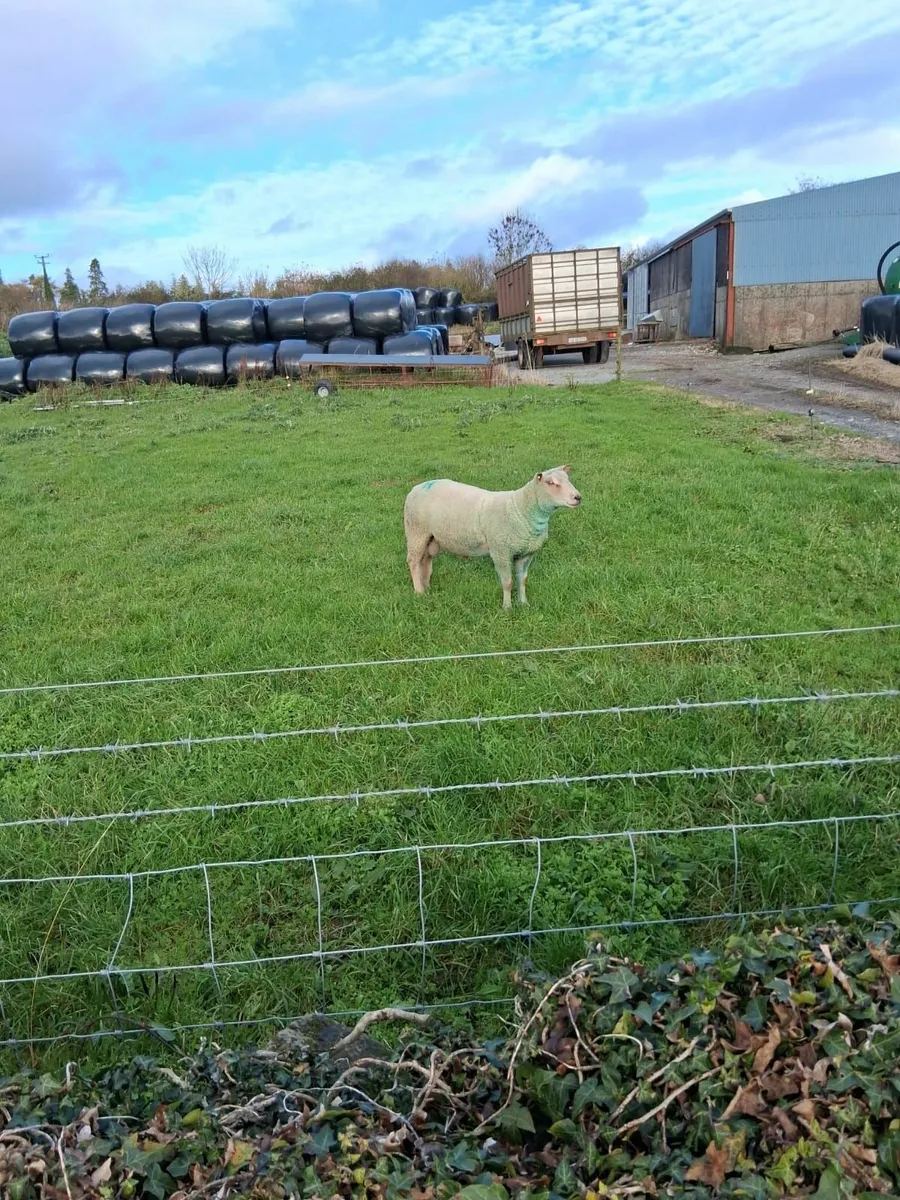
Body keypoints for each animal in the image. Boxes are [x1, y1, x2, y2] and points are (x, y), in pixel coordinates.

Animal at [403, 466, 582, 608]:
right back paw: (419, 592)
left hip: (430, 537)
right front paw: (507, 608)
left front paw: (524, 603)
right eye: (551, 483)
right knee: (413, 561)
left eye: (568, 479)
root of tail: (417, 487)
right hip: (416, 532)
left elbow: (522, 580)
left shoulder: (526, 553)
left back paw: (426, 587)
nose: (578, 497)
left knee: (425, 560)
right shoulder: (500, 551)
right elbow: (508, 582)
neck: (521, 510)